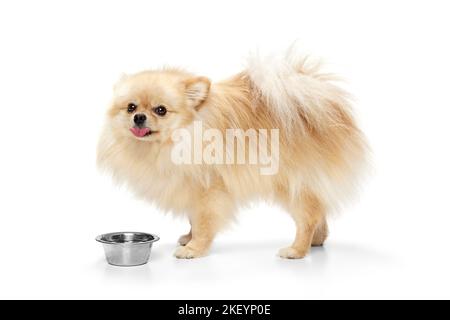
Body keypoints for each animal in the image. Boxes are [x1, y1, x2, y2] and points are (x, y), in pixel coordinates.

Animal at [96, 50, 368, 260]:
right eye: (131, 107)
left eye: (160, 110)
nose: (139, 117)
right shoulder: (190, 187)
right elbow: (193, 220)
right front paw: (189, 238)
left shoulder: (209, 191)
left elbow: (203, 223)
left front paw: (194, 249)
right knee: (319, 209)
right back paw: (317, 241)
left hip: (291, 184)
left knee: (309, 217)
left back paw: (297, 250)